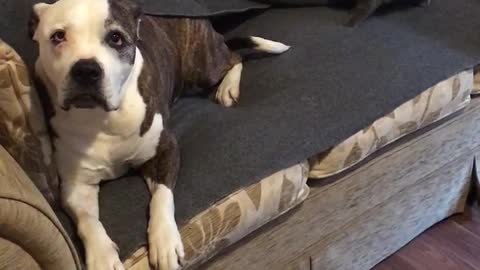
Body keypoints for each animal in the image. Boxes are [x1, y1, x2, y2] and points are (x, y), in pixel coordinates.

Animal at [29, 0, 288, 270]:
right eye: (58, 36)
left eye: (116, 38)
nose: (86, 70)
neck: (102, 118)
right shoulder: (76, 185)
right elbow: (88, 221)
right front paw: (102, 256)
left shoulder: (166, 150)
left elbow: (162, 196)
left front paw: (164, 241)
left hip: (201, 66)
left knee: (233, 58)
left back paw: (228, 88)